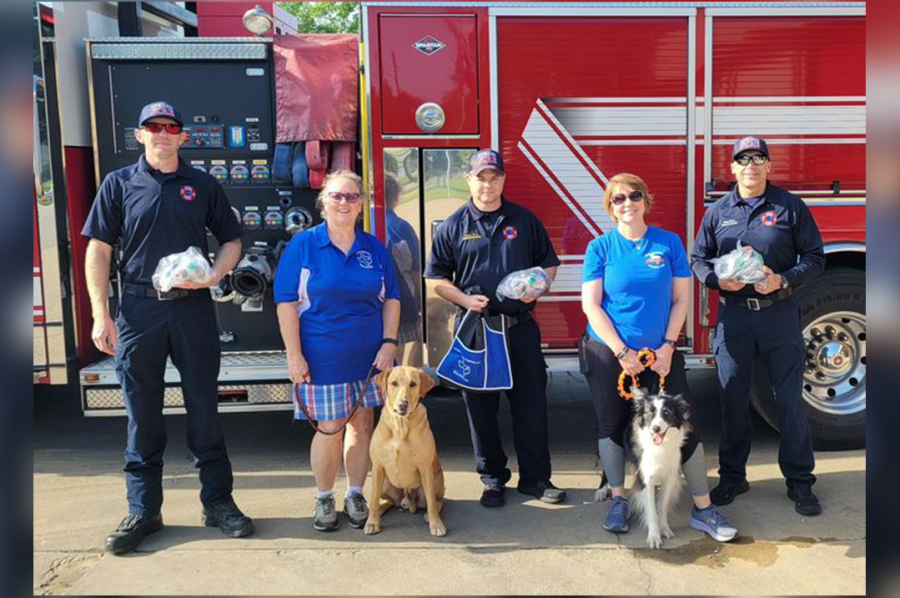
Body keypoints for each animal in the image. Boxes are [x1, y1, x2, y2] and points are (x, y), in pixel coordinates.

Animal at [362, 366, 446, 540]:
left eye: (413, 384)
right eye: (394, 383)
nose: (402, 404)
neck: (400, 425)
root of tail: (407, 499)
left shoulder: (425, 467)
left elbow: (432, 503)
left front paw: (436, 524)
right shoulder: (378, 467)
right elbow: (373, 498)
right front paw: (372, 522)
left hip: (433, 482)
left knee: (437, 501)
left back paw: (429, 515)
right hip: (386, 483)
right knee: (388, 501)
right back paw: (380, 509)